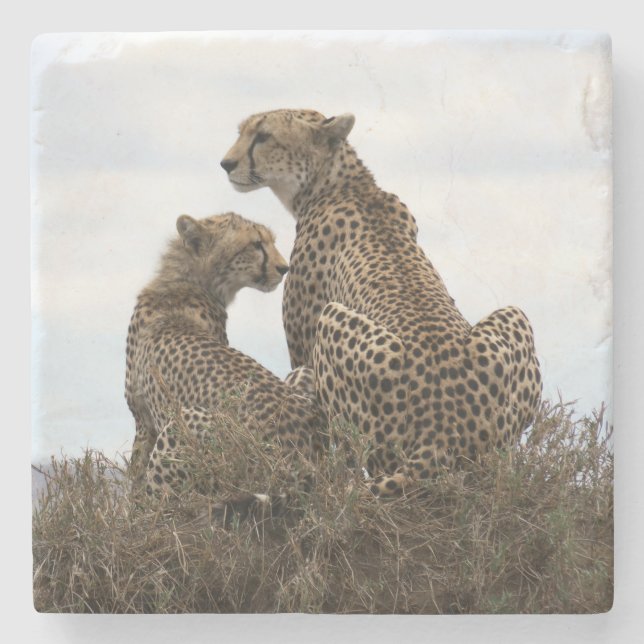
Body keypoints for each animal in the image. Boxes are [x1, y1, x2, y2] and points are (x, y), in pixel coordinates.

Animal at [125, 211, 325, 500]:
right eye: (256, 244)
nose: (284, 268)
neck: (183, 284)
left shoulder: (144, 422)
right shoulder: (142, 420)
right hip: (303, 374)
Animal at [221, 108, 543, 496]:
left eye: (264, 136)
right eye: (242, 131)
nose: (226, 163)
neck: (344, 185)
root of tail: (443, 432)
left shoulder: (303, 347)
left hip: (332, 323)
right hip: (514, 321)